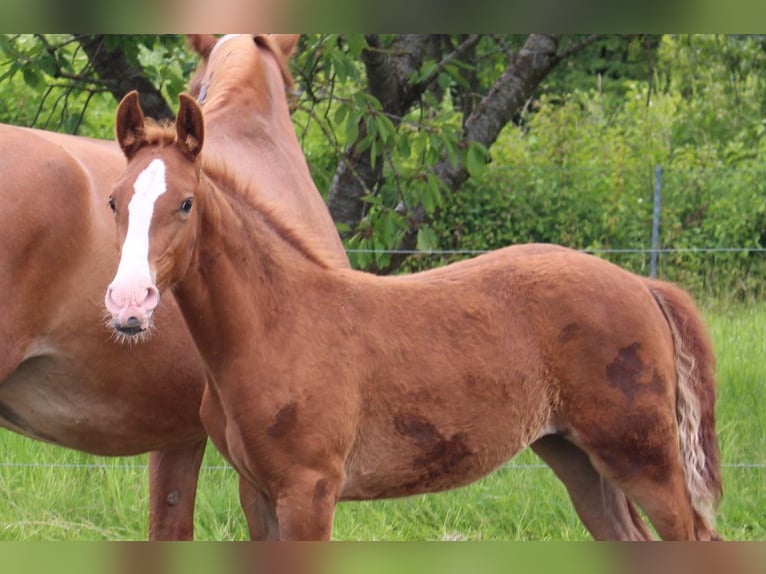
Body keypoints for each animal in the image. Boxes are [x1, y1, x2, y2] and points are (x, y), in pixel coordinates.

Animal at [103, 92, 728, 544]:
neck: (273, 327)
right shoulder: (257, 492)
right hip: (578, 457)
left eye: (186, 203)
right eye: (114, 201)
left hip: (642, 456)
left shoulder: (309, 491)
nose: (129, 303)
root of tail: (643, 286)